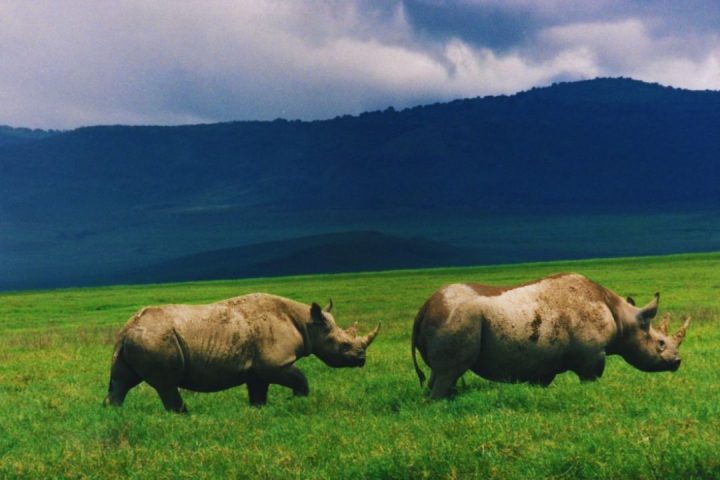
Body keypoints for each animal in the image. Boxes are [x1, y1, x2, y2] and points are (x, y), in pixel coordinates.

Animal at [104, 293, 380, 412]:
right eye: (343, 346)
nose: (362, 359)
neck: (307, 323)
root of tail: (126, 329)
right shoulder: (275, 362)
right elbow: (300, 379)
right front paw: (296, 401)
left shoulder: (257, 368)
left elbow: (258, 392)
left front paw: (259, 411)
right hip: (155, 339)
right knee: (166, 384)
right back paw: (184, 416)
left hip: (137, 340)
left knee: (121, 381)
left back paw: (114, 414)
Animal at [411, 273, 690, 399]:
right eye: (660, 343)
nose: (677, 362)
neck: (624, 319)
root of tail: (424, 308)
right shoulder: (591, 356)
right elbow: (591, 378)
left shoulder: (541, 362)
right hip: (456, 317)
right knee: (449, 372)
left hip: (450, 316)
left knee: (440, 373)